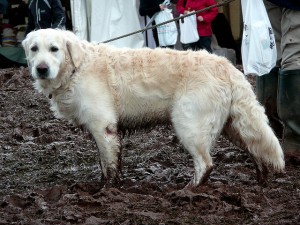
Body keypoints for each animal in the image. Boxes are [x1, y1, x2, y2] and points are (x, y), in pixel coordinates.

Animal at [22, 29, 284, 188]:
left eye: (54, 49)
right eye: (34, 49)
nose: (41, 69)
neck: (77, 68)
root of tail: (227, 66)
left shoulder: (103, 127)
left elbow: (108, 165)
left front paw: (106, 192)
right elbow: (108, 163)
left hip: (189, 124)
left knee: (206, 164)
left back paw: (187, 191)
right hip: (233, 125)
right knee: (256, 149)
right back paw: (261, 180)